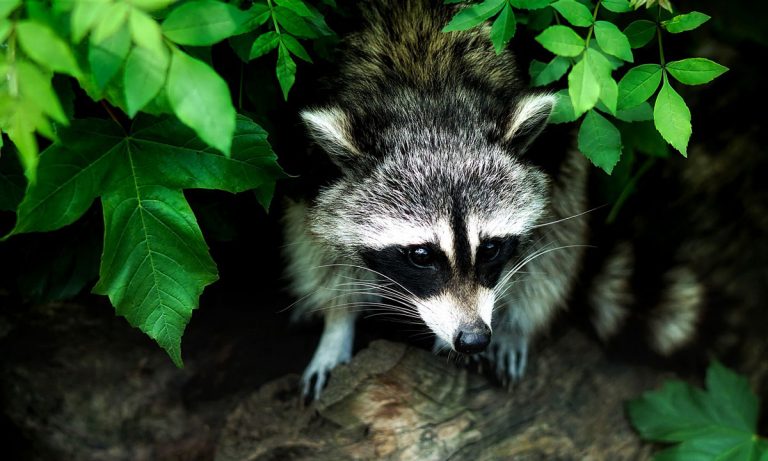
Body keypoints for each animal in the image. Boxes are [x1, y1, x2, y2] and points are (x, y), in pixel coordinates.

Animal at [282, 0, 592, 399]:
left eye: (490, 248)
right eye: (421, 255)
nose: (473, 338)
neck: (429, 91)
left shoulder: (553, 148)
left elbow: (550, 236)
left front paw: (511, 325)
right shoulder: (310, 165)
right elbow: (317, 243)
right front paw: (337, 324)